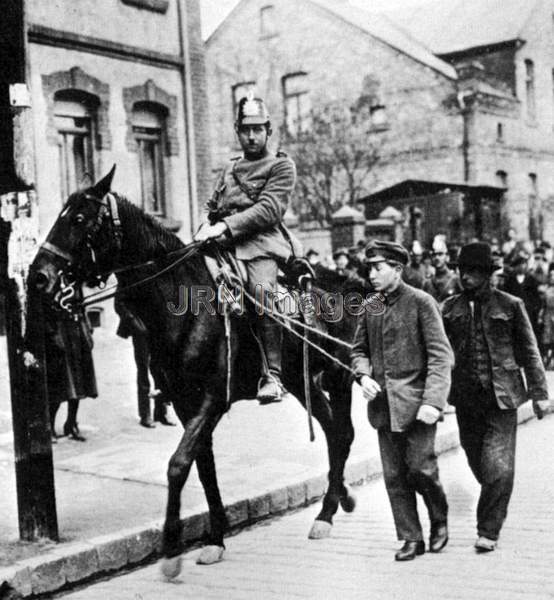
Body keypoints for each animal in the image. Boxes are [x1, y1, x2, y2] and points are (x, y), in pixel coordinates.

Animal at [30, 168, 360, 576]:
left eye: (78, 219)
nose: (37, 276)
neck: (183, 303)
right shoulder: (184, 402)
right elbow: (203, 467)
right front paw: (216, 537)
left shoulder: (212, 400)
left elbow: (178, 465)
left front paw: (172, 549)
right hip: (302, 381)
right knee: (334, 432)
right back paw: (337, 501)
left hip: (338, 377)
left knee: (342, 433)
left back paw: (327, 512)